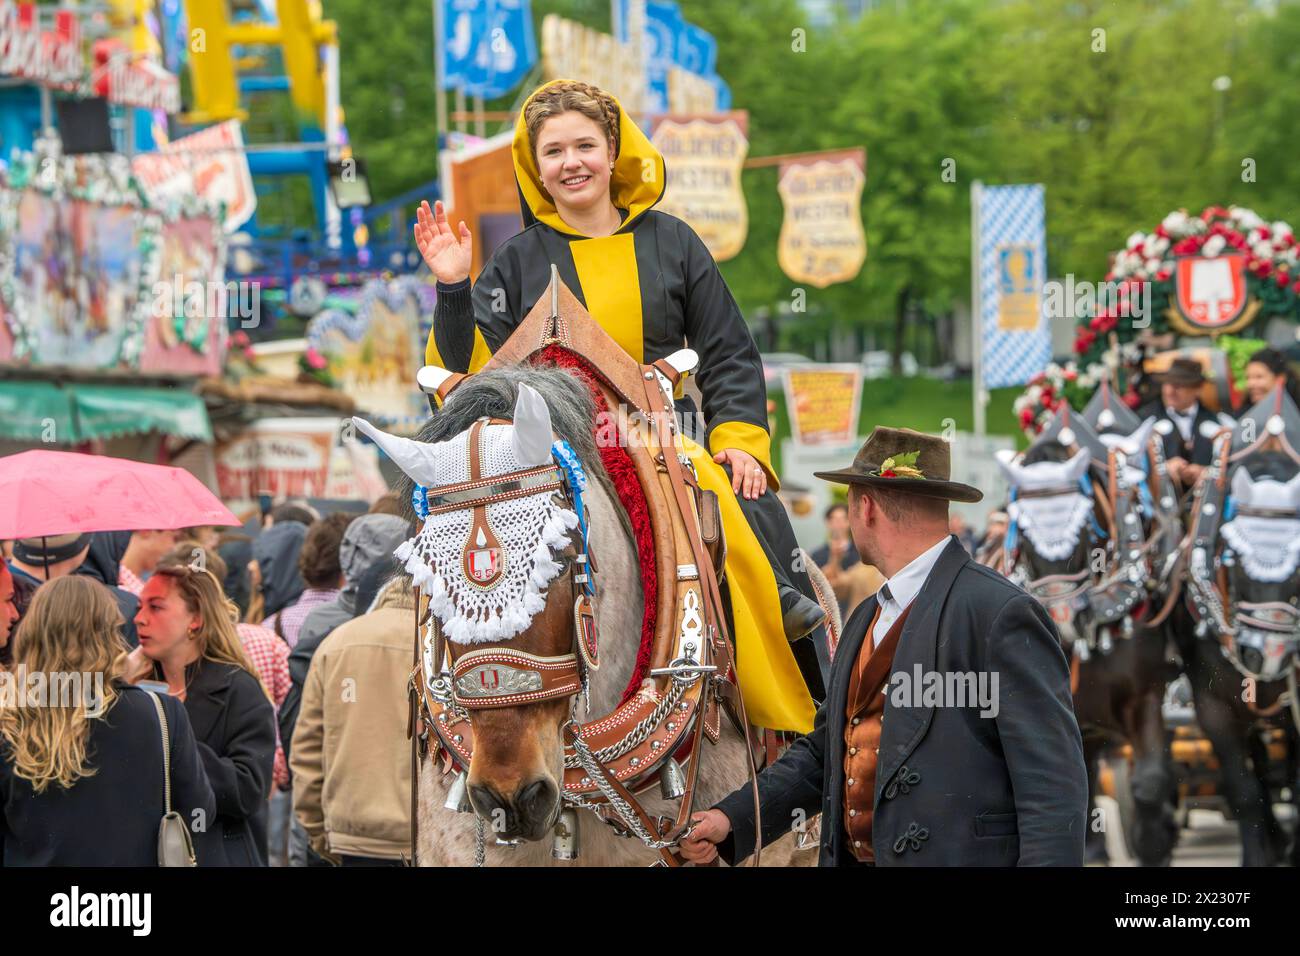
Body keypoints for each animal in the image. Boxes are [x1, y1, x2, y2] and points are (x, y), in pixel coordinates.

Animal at [993, 416, 1180, 863]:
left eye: (1083, 527)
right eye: (1022, 532)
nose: (1061, 618)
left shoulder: (1145, 694)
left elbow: (1149, 781)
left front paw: (1154, 840)